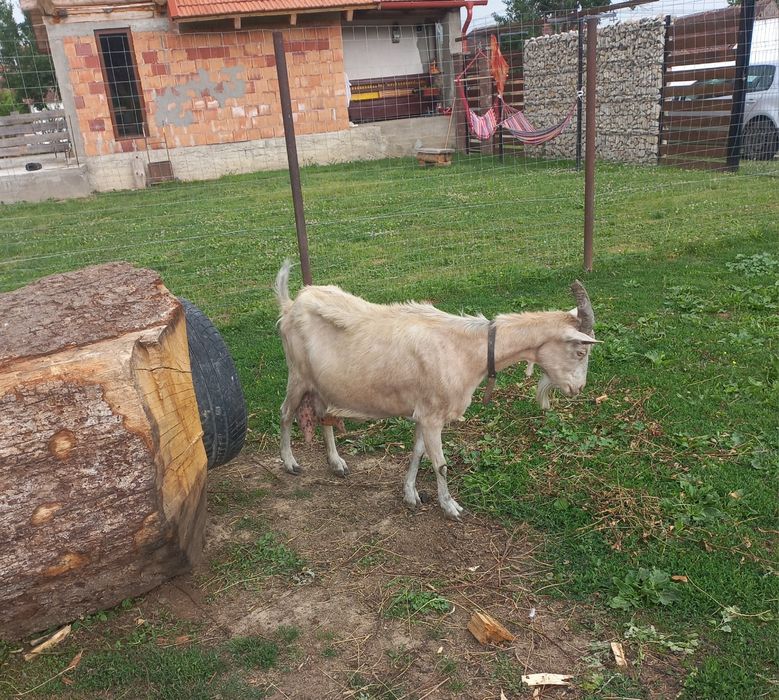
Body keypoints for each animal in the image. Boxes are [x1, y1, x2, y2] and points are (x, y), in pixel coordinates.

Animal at [274, 261, 598, 520]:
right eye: (581, 351)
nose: (578, 388)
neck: (468, 349)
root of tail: (291, 304)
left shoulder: (424, 412)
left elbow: (418, 453)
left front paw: (411, 495)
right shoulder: (432, 417)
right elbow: (440, 464)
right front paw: (451, 507)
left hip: (321, 383)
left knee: (323, 416)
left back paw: (337, 463)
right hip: (297, 374)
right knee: (286, 413)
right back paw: (290, 463)